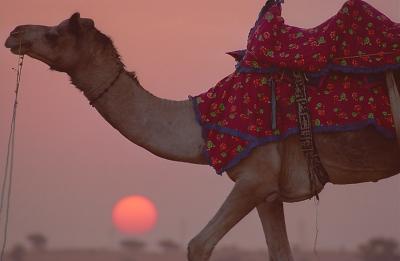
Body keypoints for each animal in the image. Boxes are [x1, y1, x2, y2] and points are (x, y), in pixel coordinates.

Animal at [3, 10, 400, 260]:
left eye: (55, 32)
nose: (14, 33)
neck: (202, 122)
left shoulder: (254, 177)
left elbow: (198, 245)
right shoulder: (269, 189)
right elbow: (280, 252)